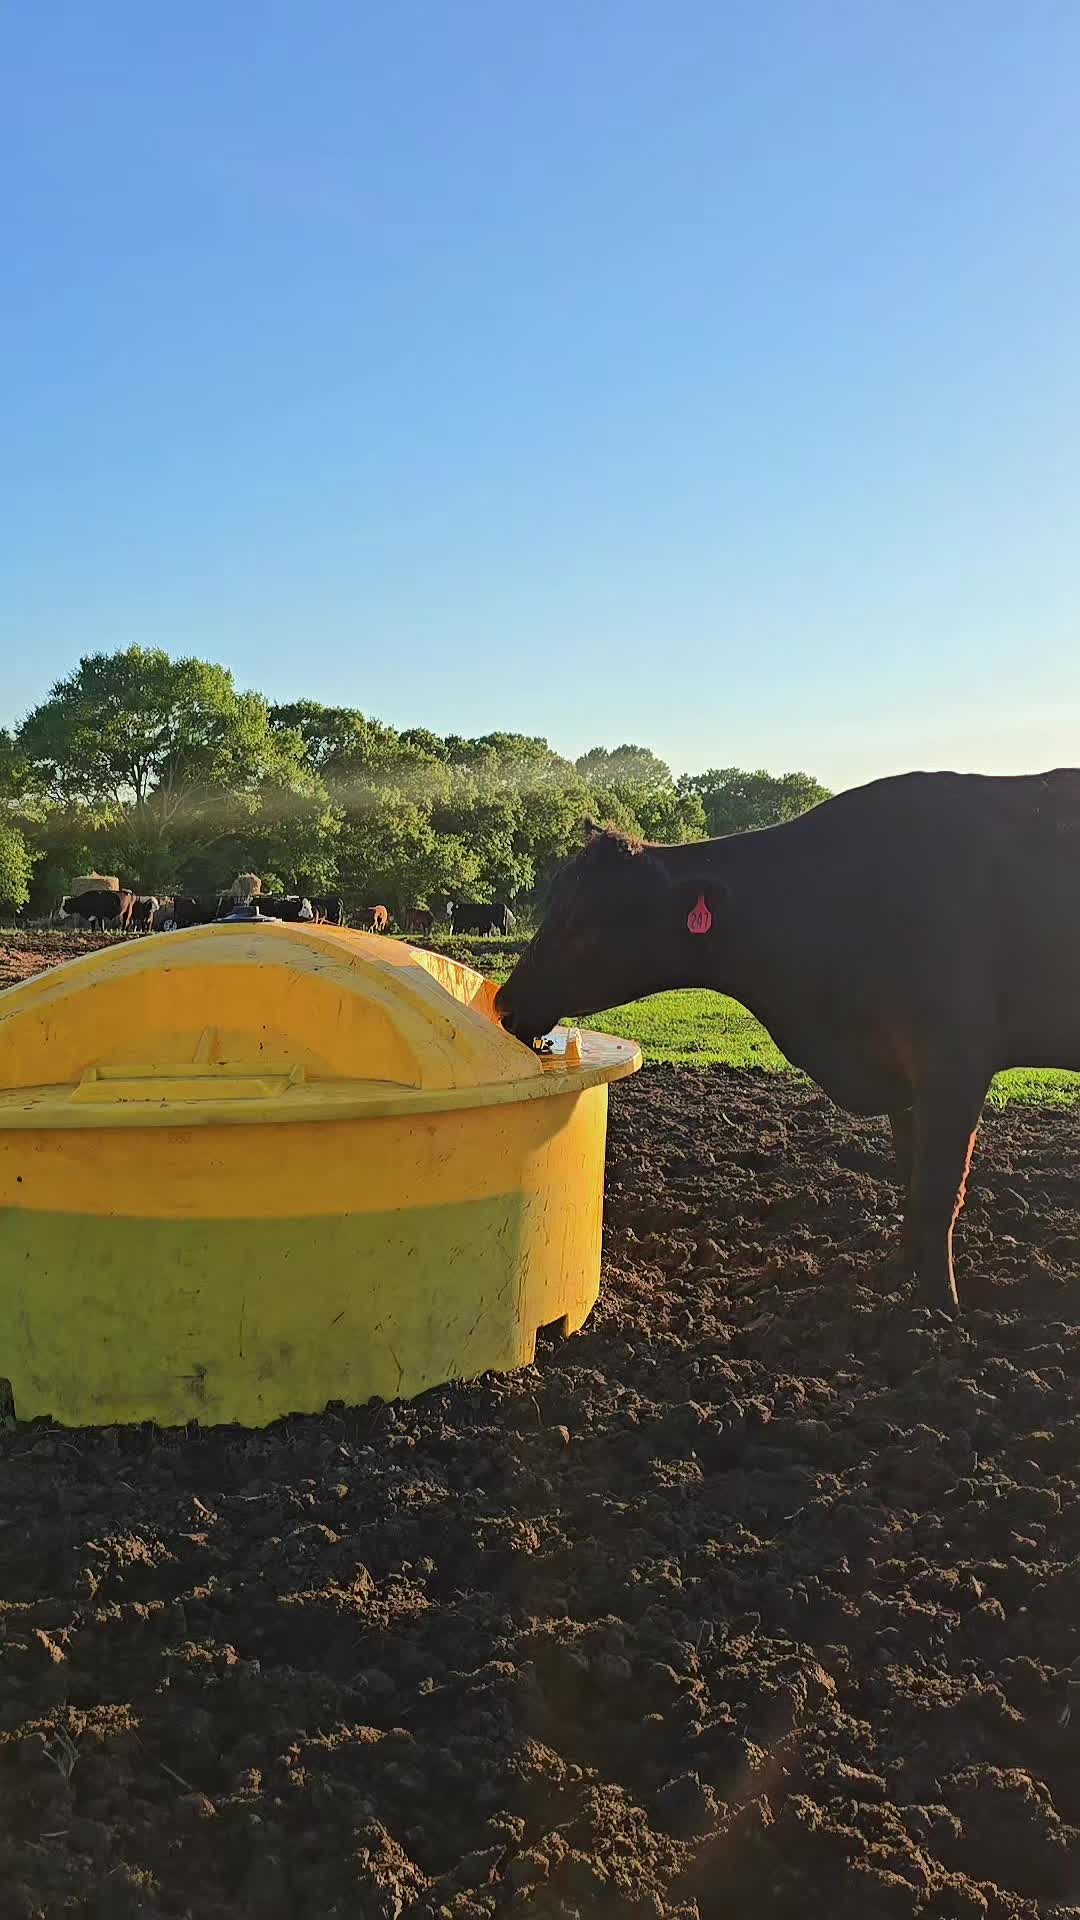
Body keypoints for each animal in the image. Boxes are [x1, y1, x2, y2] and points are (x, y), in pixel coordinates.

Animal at [496, 772, 1080, 1315]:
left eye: (582, 923)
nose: (504, 1003)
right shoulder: (902, 1074)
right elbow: (910, 1175)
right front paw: (898, 1271)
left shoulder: (953, 1063)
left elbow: (938, 1187)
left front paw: (937, 1303)